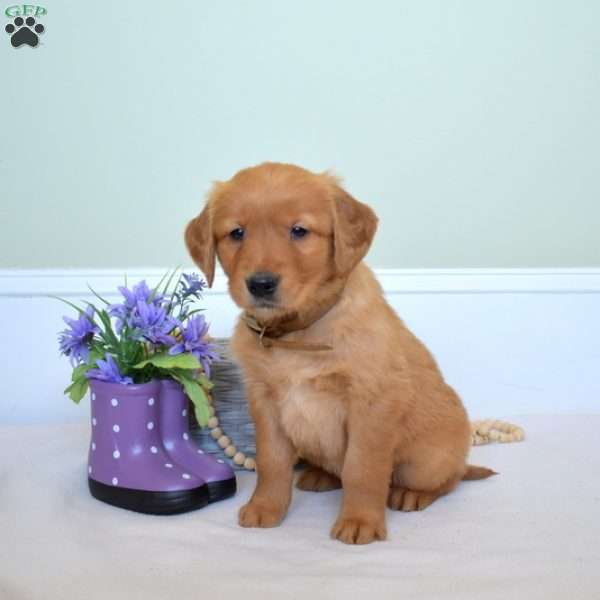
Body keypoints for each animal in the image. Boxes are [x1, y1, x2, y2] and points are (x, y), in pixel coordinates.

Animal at [185, 163, 494, 544]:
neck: (297, 331)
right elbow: (272, 462)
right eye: (236, 233)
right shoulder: (263, 401)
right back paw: (321, 476)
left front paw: (360, 521)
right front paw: (265, 508)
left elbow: (362, 468)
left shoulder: (371, 402)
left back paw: (413, 494)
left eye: (299, 230)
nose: (260, 284)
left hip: (427, 461)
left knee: (449, 479)